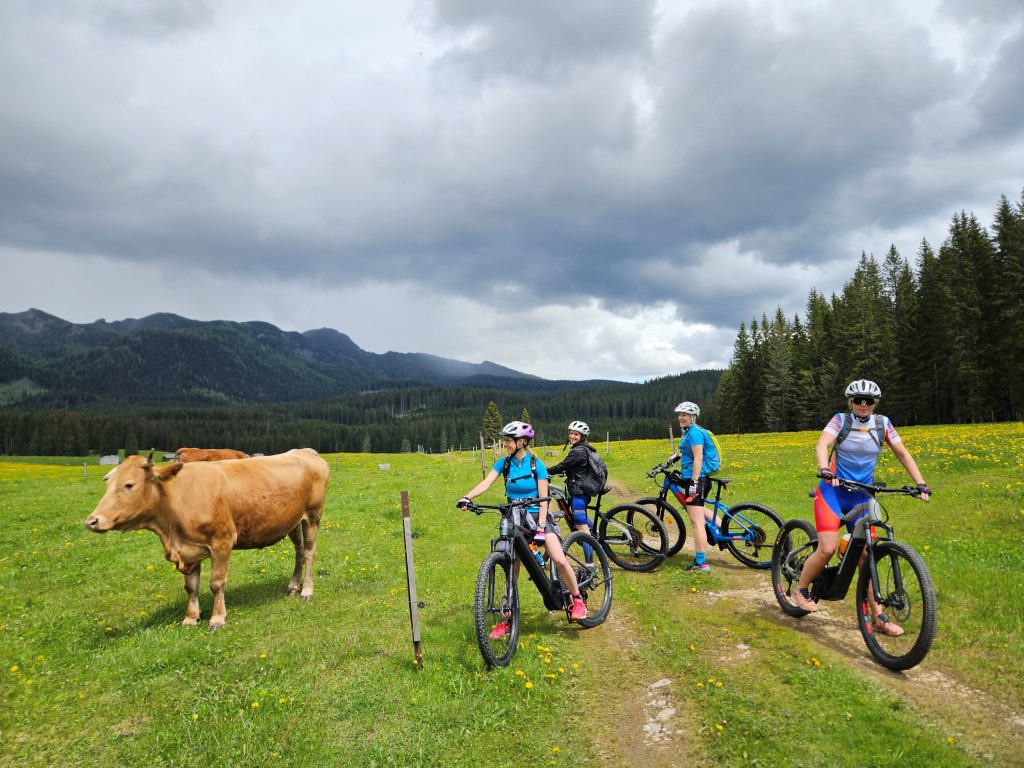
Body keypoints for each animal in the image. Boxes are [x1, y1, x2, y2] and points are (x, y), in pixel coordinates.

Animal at [88, 448, 329, 626]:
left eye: (129, 484)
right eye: (108, 484)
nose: (92, 521)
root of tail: (306, 451)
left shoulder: (222, 543)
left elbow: (216, 583)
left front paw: (217, 618)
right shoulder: (189, 549)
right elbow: (191, 587)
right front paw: (191, 618)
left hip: (312, 516)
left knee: (309, 551)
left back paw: (306, 590)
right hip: (293, 521)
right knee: (299, 552)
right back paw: (293, 586)